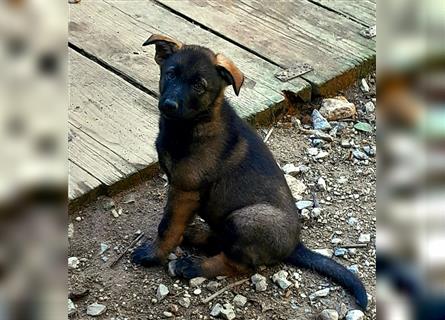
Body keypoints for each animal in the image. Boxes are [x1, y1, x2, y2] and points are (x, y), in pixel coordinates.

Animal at [132, 33, 368, 308]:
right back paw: (195, 236)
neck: (190, 125)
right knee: (221, 240)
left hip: (245, 219)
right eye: (170, 74)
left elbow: (167, 227)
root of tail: (295, 246)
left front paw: (153, 255)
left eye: (199, 86)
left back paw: (194, 266)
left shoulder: (184, 190)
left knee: (237, 264)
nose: (169, 105)